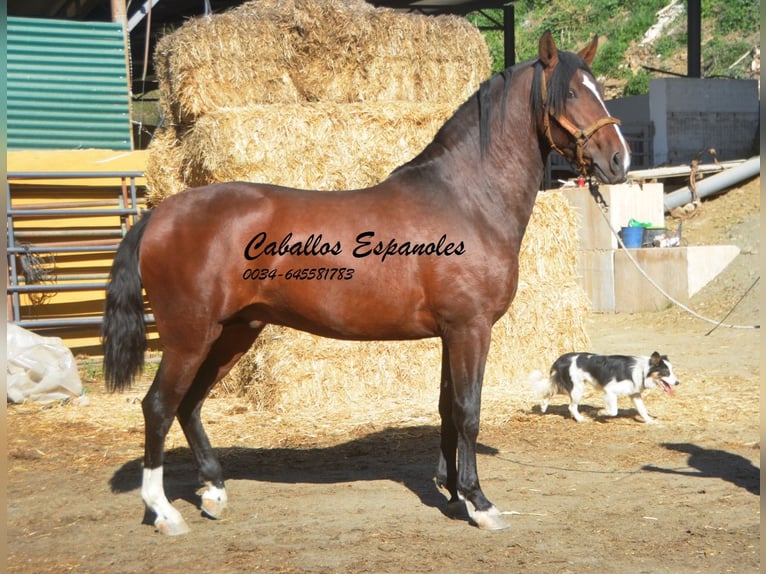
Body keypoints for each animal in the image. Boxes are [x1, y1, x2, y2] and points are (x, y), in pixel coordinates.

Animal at [102, 30, 632, 536]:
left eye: (600, 90)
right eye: (570, 93)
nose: (618, 160)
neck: (465, 199)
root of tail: (160, 214)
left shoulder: (451, 333)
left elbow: (446, 409)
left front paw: (452, 491)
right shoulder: (471, 328)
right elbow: (468, 411)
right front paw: (479, 503)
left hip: (234, 331)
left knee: (189, 404)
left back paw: (213, 492)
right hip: (190, 336)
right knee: (158, 406)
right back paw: (164, 511)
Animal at [532, 354, 680, 426]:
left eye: (672, 371)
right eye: (666, 372)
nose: (677, 382)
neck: (643, 370)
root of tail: (561, 359)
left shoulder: (635, 394)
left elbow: (643, 410)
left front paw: (650, 421)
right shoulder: (610, 390)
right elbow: (614, 411)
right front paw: (600, 412)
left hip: (570, 385)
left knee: (550, 390)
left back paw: (543, 406)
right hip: (577, 388)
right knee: (571, 407)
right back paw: (580, 419)